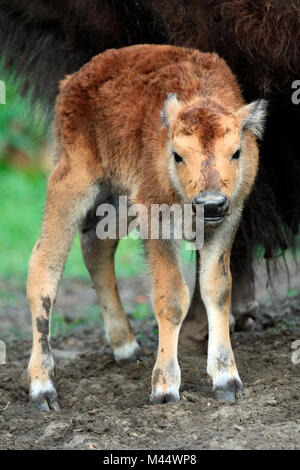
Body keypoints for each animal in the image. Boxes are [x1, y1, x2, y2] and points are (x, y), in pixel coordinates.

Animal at [25, 45, 266, 412]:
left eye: (237, 152)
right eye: (177, 155)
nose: (210, 203)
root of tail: (72, 81)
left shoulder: (227, 220)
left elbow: (217, 289)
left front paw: (226, 381)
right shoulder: (156, 221)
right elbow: (172, 295)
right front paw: (165, 388)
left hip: (120, 200)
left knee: (95, 246)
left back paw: (126, 349)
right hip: (72, 183)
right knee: (44, 266)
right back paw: (43, 388)